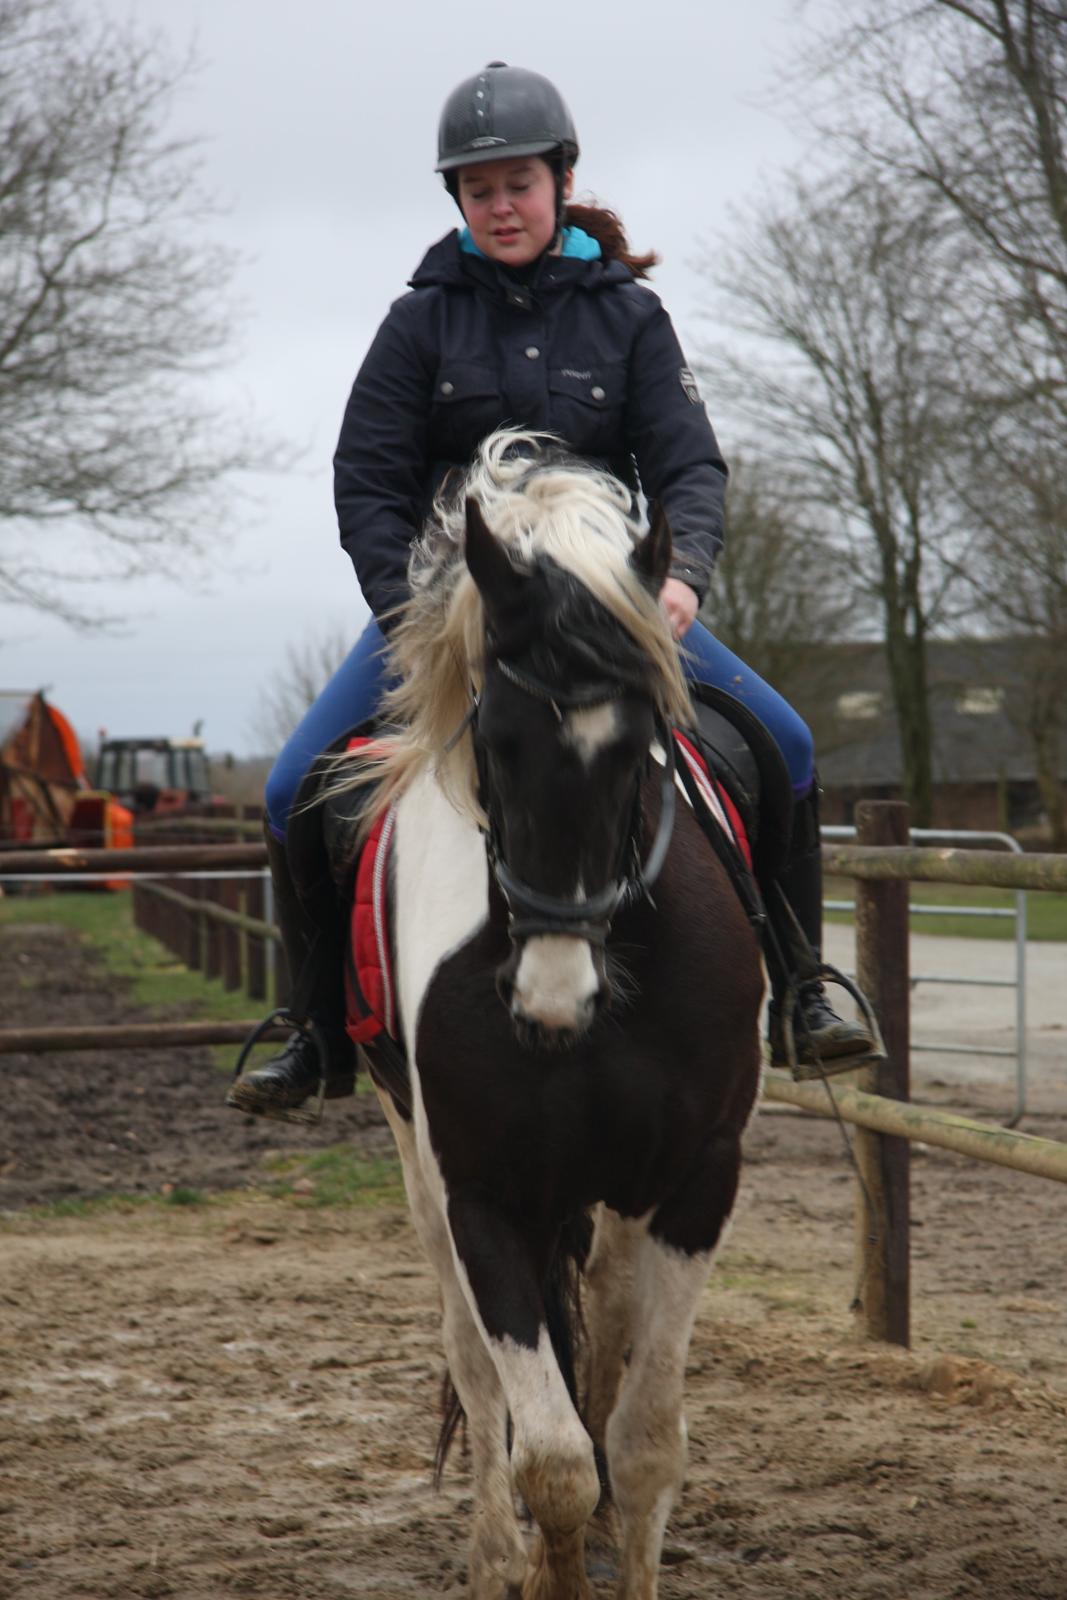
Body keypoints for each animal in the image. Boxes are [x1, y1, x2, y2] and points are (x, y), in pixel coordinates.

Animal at [337, 432, 764, 1600]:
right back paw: (495, 1554)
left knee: (606, 1333)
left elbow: (641, 1437)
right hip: (423, 1170)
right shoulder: (481, 1193)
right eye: (493, 737)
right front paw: (543, 1564)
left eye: (639, 746)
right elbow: (554, 1456)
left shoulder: (695, 1177)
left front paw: (621, 1544)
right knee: (477, 1371)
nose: (548, 1000)